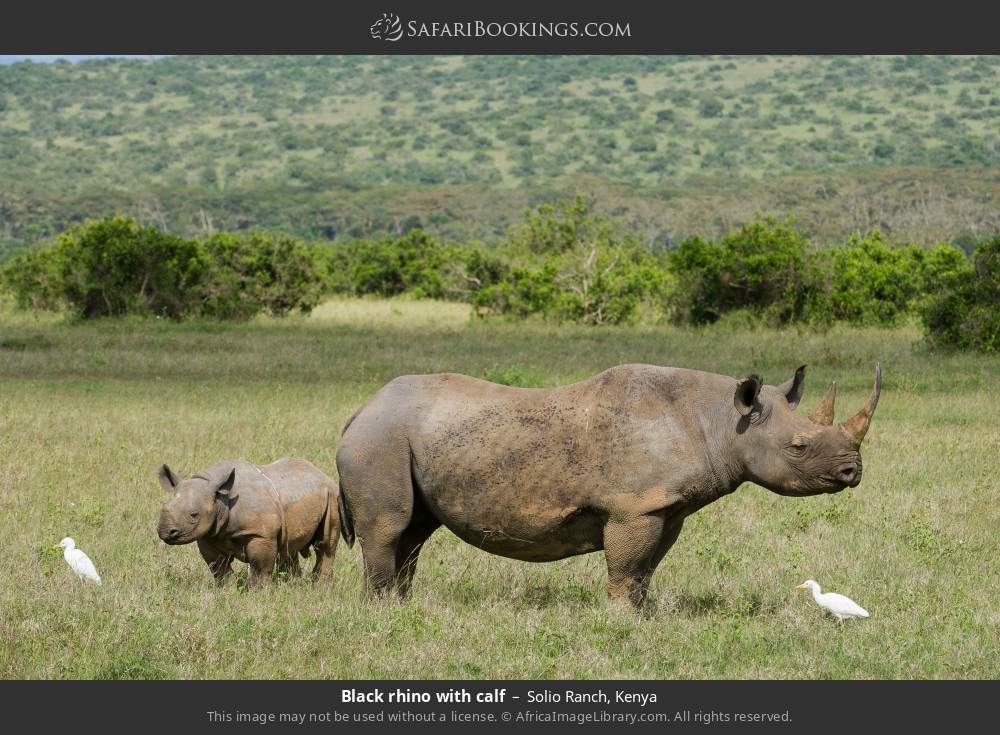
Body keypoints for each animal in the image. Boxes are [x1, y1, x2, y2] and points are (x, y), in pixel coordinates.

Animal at [157, 460, 340, 588]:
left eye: (194, 515)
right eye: (163, 508)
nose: (165, 532)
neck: (222, 500)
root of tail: (322, 474)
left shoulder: (261, 534)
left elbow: (260, 566)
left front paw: (259, 591)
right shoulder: (209, 534)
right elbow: (218, 566)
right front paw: (226, 589)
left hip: (332, 496)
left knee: (324, 546)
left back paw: (319, 586)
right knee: (288, 548)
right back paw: (292, 584)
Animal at [338, 364, 884, 608]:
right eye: (799, 446)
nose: (852, 472)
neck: (723, 422)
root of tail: (359, 409)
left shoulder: (665, 508)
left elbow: (646, 567)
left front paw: (641, 615)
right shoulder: (635, 505)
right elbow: (625, 566)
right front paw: (619, 616)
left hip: (399, 437)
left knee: (416, 530)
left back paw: (402, 605)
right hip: (381, 439)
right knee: (390, 526)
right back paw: (382, 611)